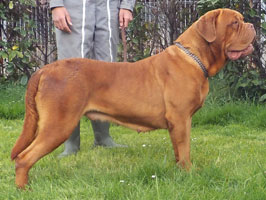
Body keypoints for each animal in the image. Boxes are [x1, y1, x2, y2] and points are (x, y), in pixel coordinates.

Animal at [10, 8, 256, 189]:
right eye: (235, 23)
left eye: (241, 21)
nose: (252, 25)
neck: (194, 56)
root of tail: (45, 69)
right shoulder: (181, 119)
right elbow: (185, 150)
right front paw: (188, 174)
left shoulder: (177, 124)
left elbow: (178, 151)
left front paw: (179, 172)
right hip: (58, 124)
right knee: (24, 158)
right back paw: (24, 189)